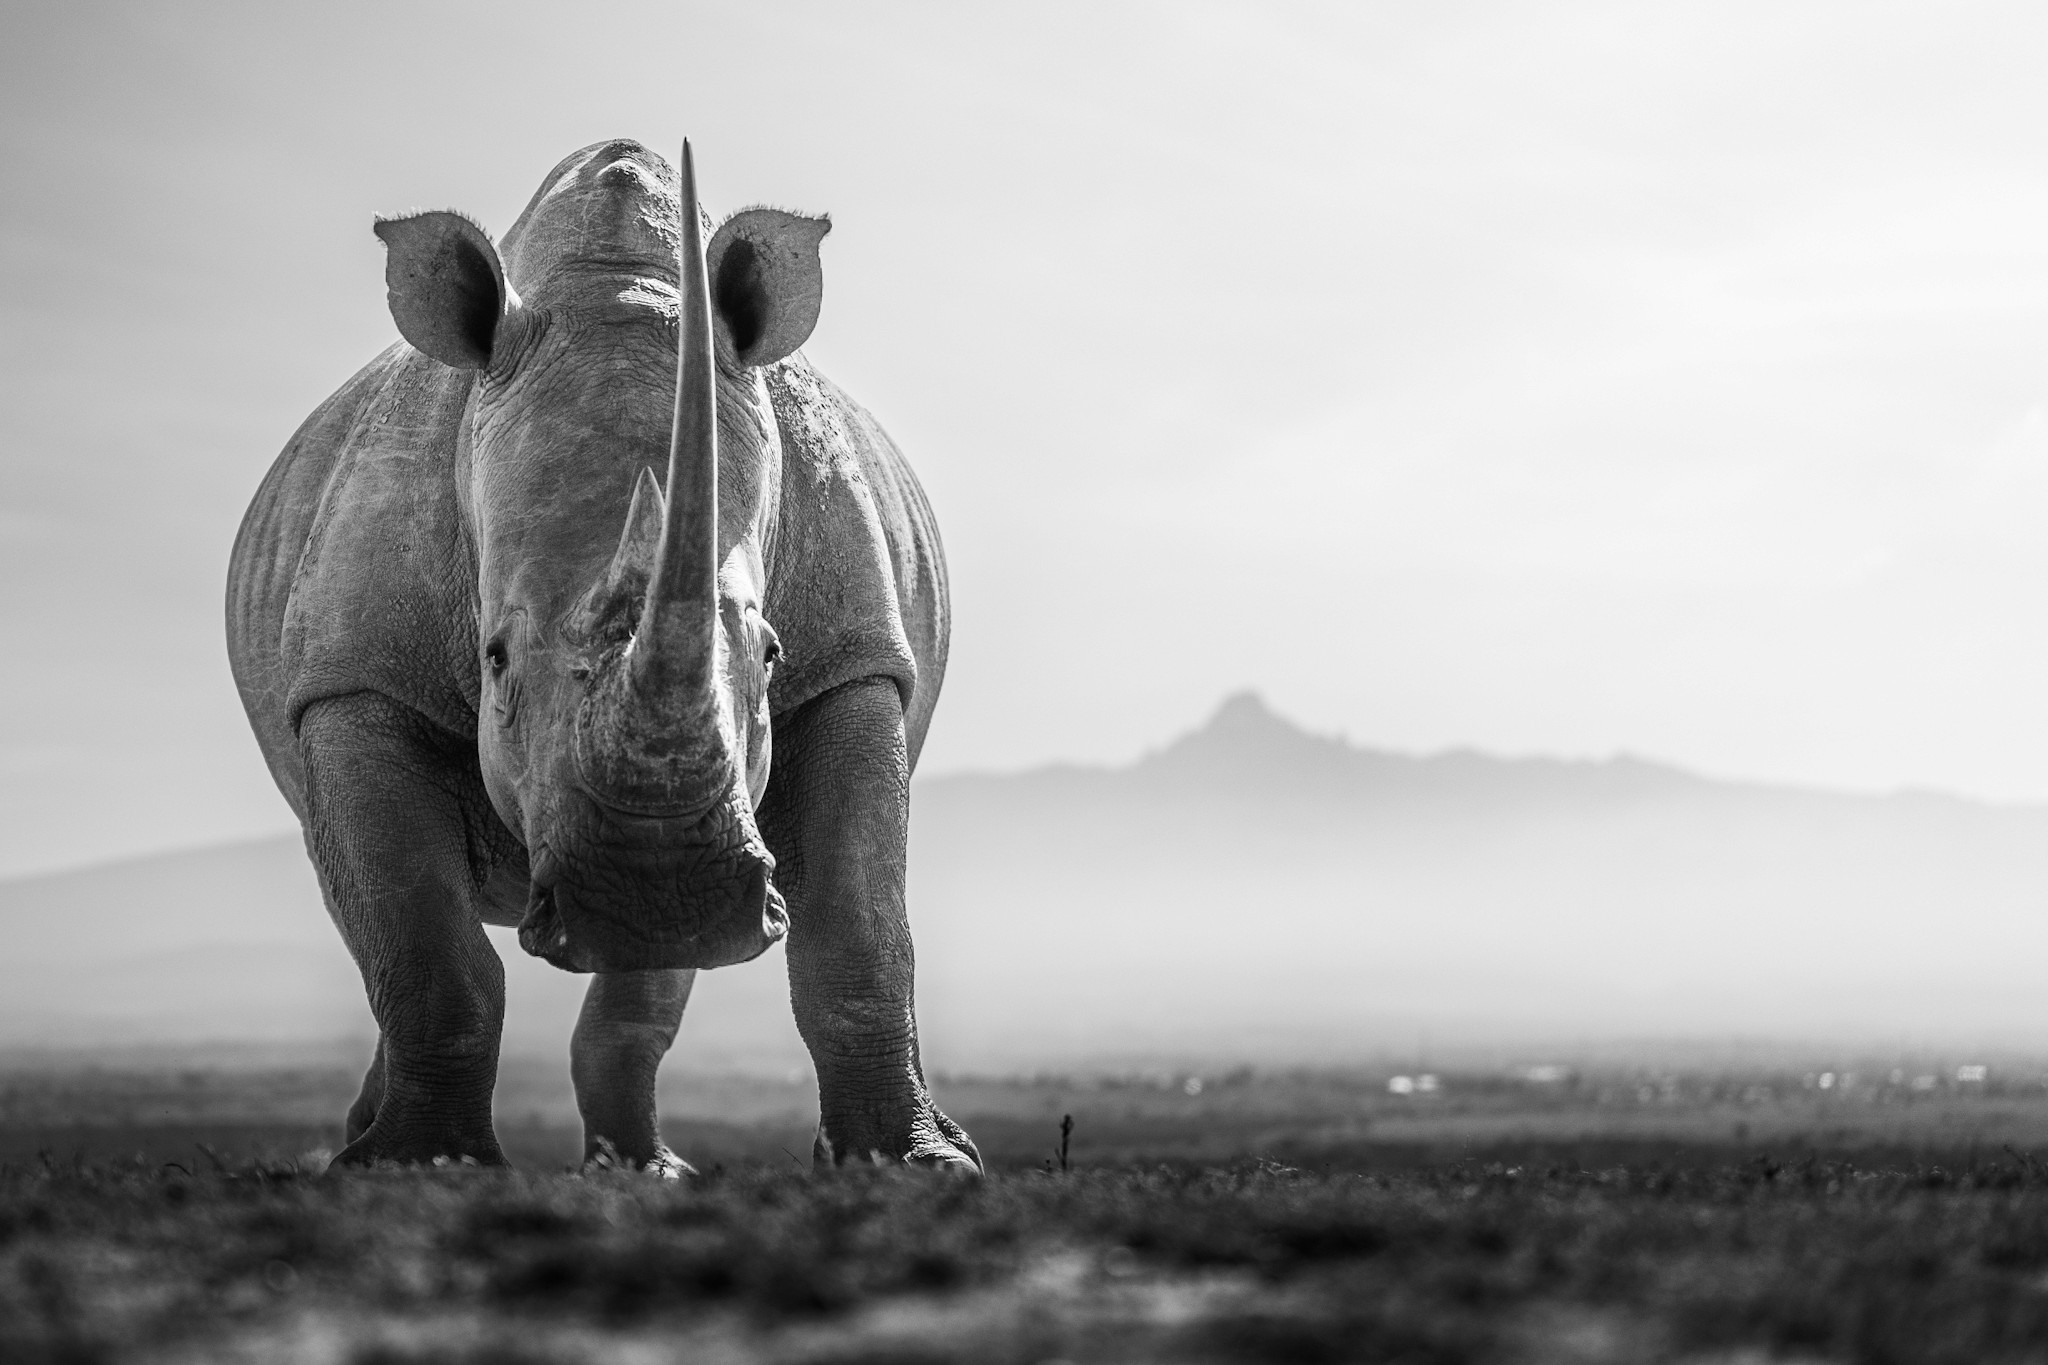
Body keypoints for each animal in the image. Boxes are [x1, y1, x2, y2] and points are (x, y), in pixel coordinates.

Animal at [226, 138, 978, 1173]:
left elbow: (859, 926)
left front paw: (915, 1165)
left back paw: (644, 1167)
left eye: (772, 654)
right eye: (495, 659)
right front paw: (417, 1165)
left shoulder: (855, 661)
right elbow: (424, 941)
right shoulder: (353, 680)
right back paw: (370, 1139)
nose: (659, 896)